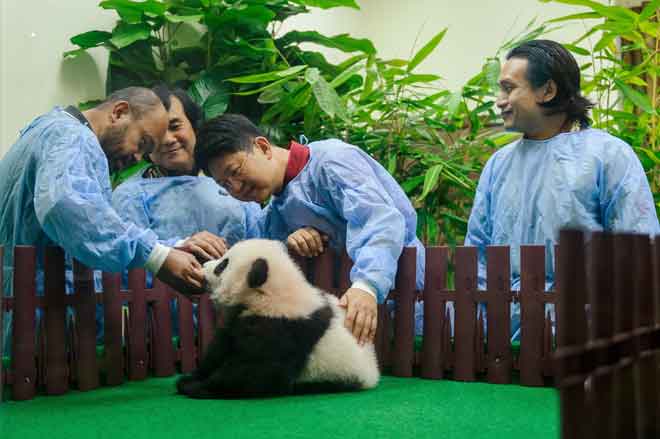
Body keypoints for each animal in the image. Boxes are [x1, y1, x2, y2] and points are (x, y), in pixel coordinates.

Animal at [177, 239, 382, 400]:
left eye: (223, 265)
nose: (203, 266)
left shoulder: (285, 329)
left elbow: (253, 372)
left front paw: (197, 387)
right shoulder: (242, 319)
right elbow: (220, 348)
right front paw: (191, 378)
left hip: (341, 372)